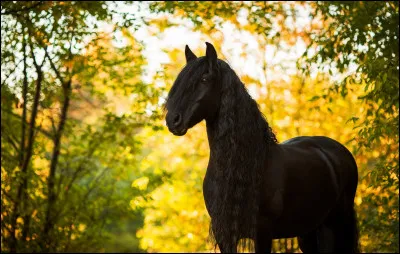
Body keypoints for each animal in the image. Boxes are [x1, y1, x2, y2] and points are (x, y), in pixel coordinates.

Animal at [164, 42, 360, 253]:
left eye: (204, 79)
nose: (173, 120)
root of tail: (340, 152)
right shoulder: (224, 234)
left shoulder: (263, 231)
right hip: (309, 231)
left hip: (334, 225)